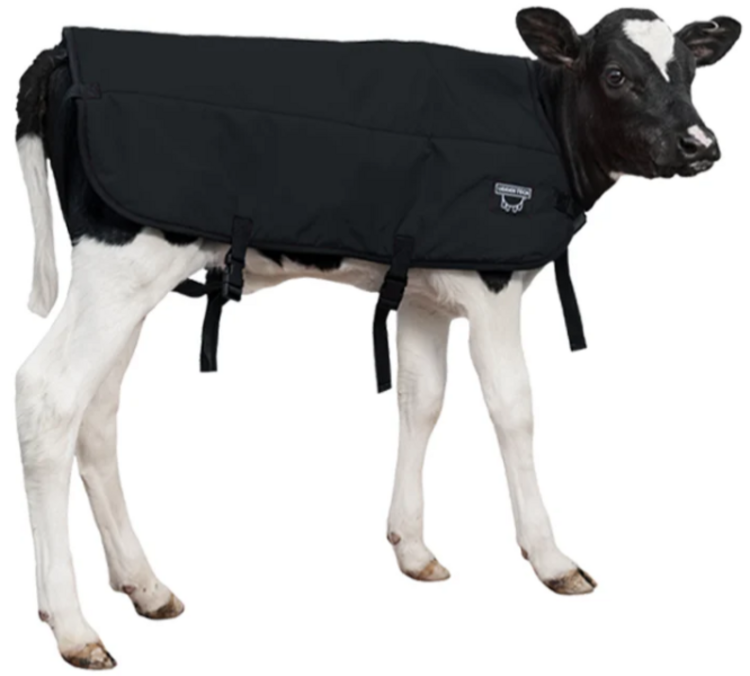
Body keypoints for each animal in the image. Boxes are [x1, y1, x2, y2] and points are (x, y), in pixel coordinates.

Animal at [14, 8, 741, 669]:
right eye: (616, 75)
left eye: (689, 71)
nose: (701, 144)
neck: (544, 120)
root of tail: (62, 48)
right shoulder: (494, 291)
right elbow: (513, 409)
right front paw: (551, 557)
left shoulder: (424, 293)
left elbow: (421, 400)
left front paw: (413, 548)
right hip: (120, 265)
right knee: (48, 395)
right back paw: (72, 626)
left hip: (127, 284)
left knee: (97, 414)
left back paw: (143, 585)